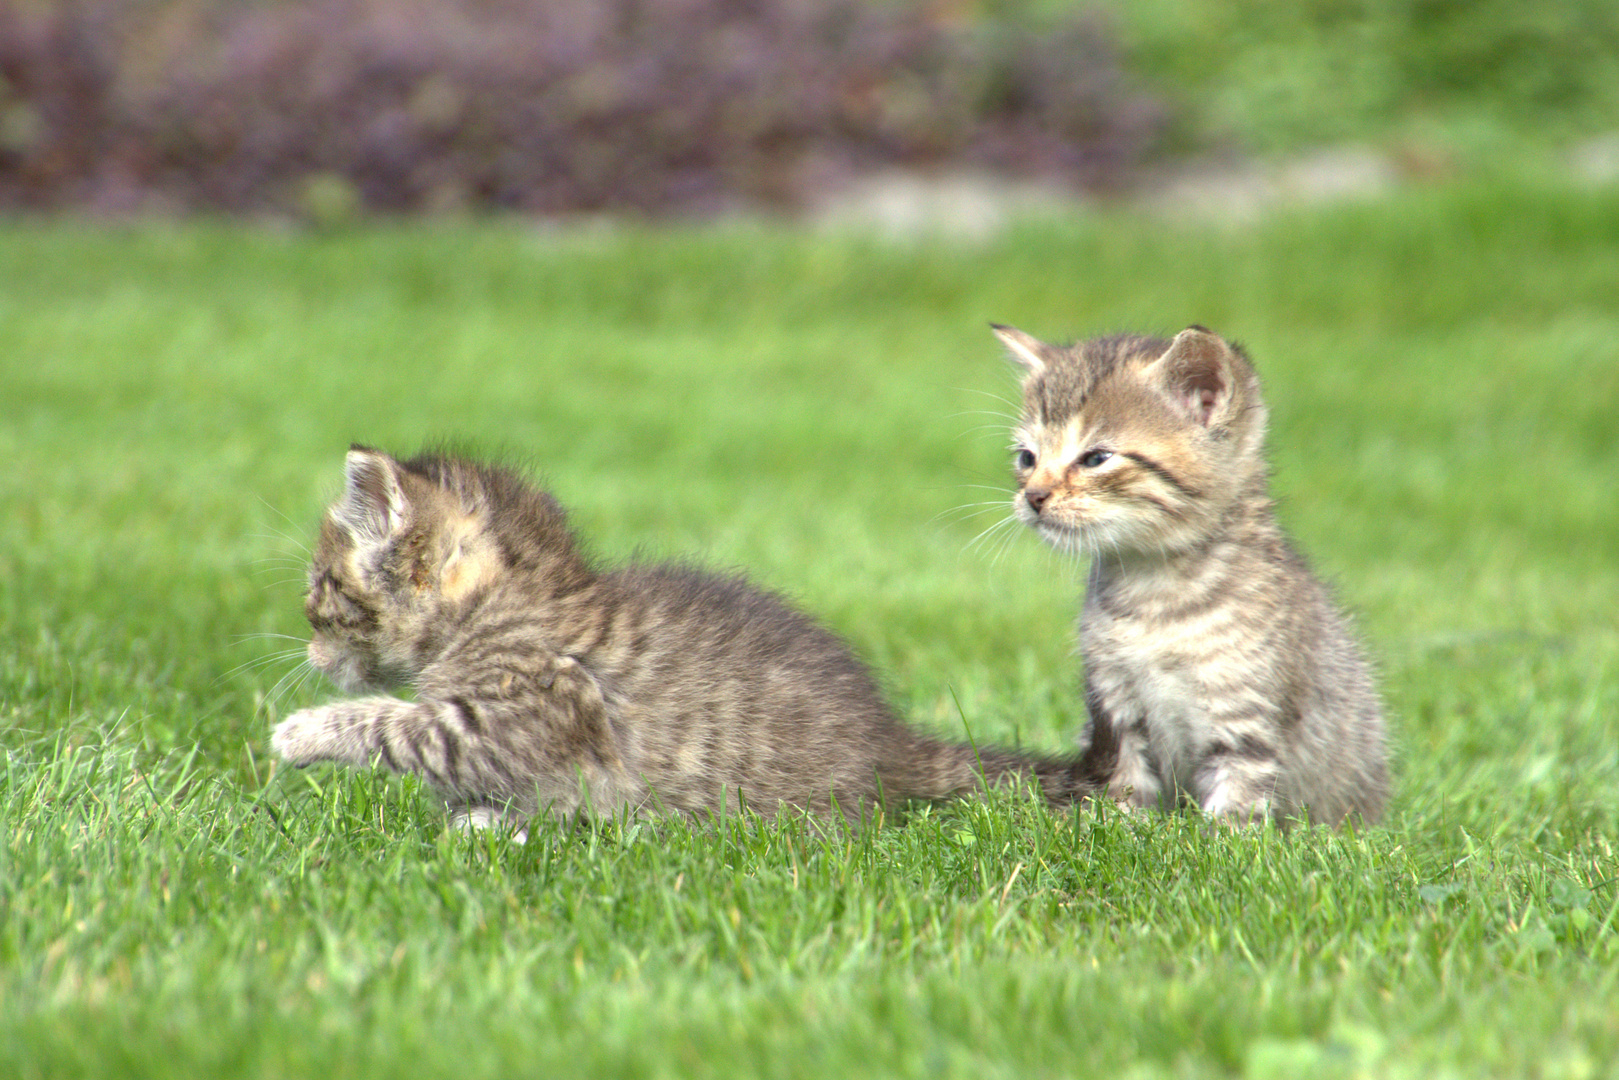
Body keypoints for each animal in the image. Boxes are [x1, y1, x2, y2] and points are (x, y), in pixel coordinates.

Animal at [268, 446, 1100, 829]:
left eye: (320, 592)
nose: (307, 651)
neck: (503, 610)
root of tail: (890, 740)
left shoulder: (525, 715)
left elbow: (402, 725)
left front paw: (305, 731)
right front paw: (482, 827)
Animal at [990, 323, 1385, 829]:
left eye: (1096, 458)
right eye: (1027, 458)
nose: (1033, 496)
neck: (1156, 599)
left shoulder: (1243, 720)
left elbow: (1236, 809)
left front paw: (1222, 843)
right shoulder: (1114, 711)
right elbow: (1125, 790)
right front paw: (1120, 830)